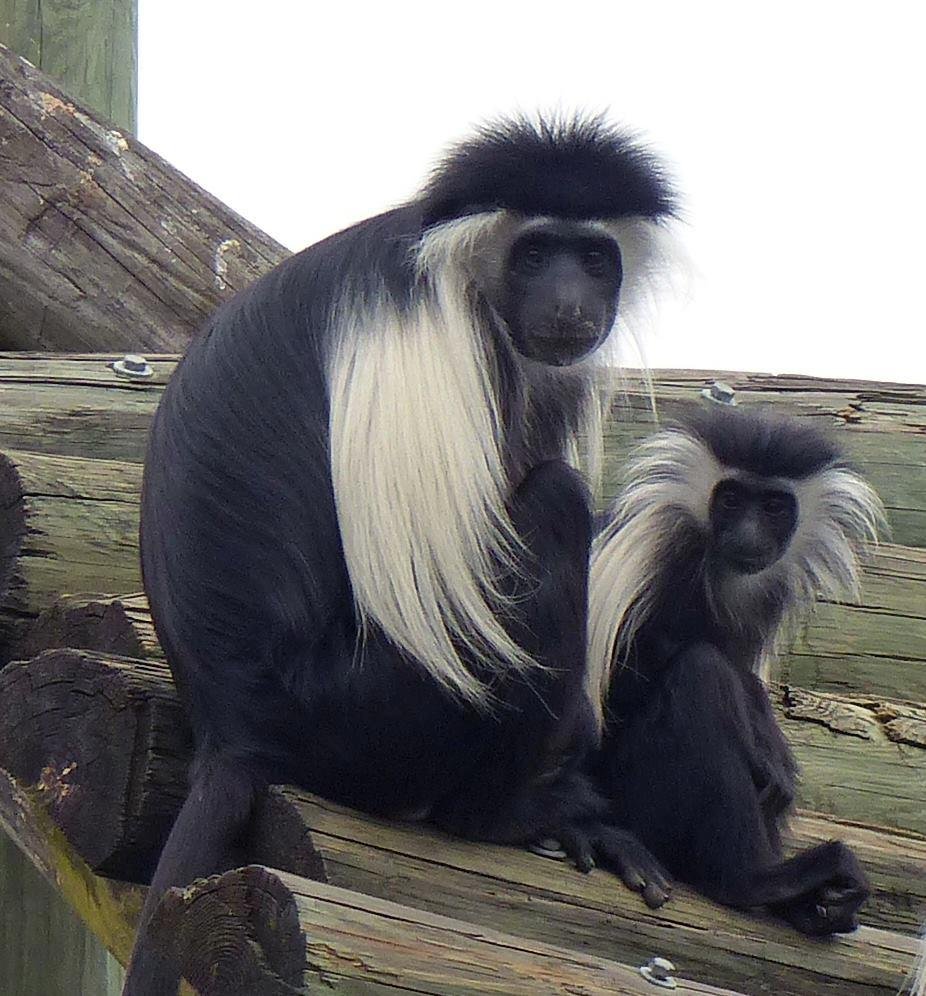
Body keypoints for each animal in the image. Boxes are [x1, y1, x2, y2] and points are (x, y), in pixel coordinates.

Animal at [122, 115, 683, 994]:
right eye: (535, 253)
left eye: (595, 257)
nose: (570, 300)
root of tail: (234, 725)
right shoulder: (436, 329)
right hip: (361, 710)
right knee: (547, 514)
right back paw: (503, 812)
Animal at [585, 405, 885, 935]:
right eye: (730, 499)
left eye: (773, 506)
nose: (747, 535)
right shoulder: (649, 553)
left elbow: (744, 674)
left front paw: (774, 754)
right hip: (641, 799)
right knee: (700, 674)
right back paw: (756, 881)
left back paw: (808, 901)